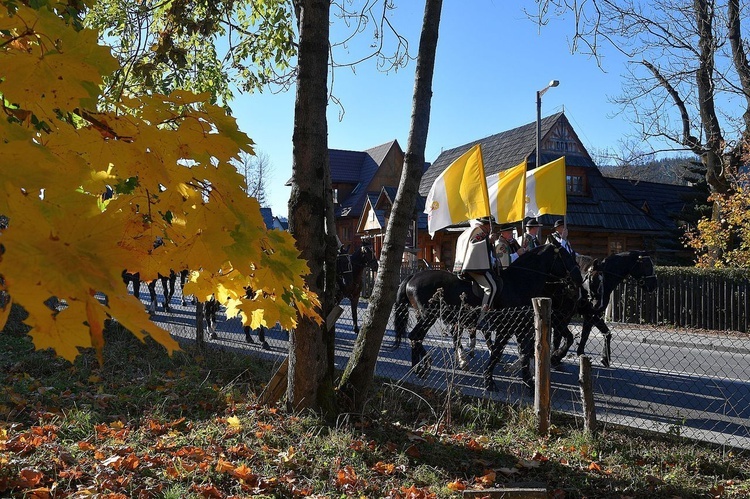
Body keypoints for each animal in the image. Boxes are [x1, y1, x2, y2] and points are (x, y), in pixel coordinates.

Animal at [390, 244, 584, 392]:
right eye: (567, 257)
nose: (579, 282)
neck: (519, 283)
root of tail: (413, 276)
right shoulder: (507, 328)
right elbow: (499, 352)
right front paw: (489, 381)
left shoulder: (520, 328)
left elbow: (523, 352)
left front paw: (529, 382)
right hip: (428, 317)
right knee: (416, 336)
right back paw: (426, 364)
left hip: (424, 316)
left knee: (417, 338)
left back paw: (417, 367)